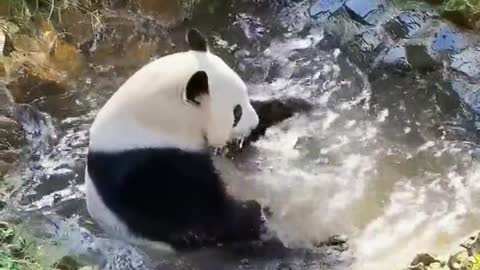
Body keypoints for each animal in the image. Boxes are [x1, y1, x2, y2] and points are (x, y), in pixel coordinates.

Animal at [84, 29, 268, 251]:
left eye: (246, 95)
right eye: (236, 113)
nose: (253, 124)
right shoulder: (151, 163)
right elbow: (193, 207)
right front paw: (251, 214)